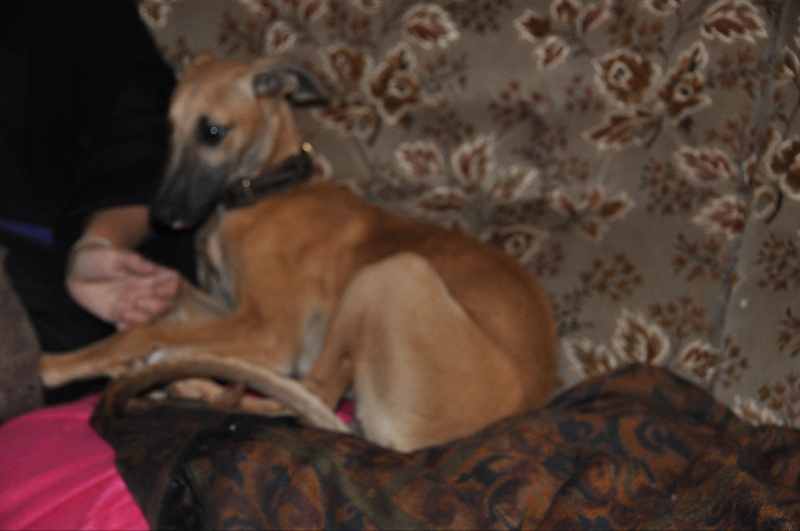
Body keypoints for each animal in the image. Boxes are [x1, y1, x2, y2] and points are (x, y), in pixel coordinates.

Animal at [41, 53, 557, 452]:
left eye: (213, 131)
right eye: (169, 130)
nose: (164, 216)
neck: (270, 191)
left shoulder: (271, 330)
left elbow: (142, 334)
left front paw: (58, 365)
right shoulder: (234, 309)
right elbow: (176, 297)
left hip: (391, 273)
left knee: (313, 394)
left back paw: (178, 380)